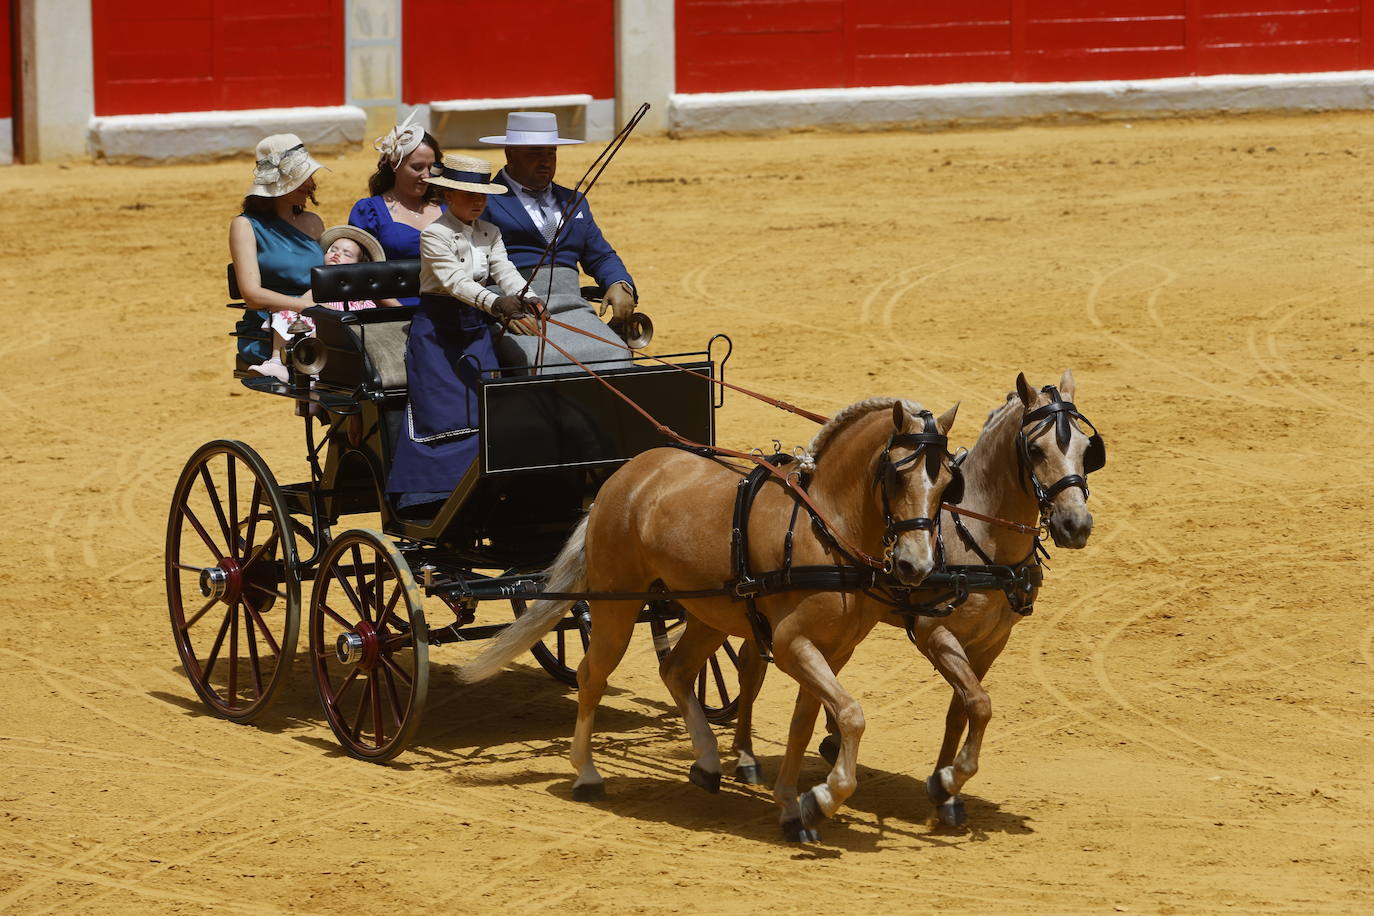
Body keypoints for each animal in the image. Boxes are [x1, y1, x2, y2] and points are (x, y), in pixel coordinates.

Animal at [456, 398, 961, 840]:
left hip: (707, 613)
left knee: (676, 669)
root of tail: (624, 476)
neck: (824, 528)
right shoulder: (792, 645)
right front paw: (823, 797)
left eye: (946, 483)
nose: (916, 565)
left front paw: (792, 807)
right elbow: (852, 716)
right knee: (591, 675)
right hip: (616, 604)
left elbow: (805, 723)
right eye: (898, 476)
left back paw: (707, 761)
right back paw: (587, 773)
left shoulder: (832, 652)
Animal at [730, 368, 1104, 829]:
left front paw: (946, 790)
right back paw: (746, 756)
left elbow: (962, 709)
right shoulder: (934, 633)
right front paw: (948, 780)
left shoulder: (990, 644)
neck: (979, 536)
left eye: (1088, 449)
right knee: (750, 667)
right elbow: (979, 703)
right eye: (1035, 449)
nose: (1075, 525)